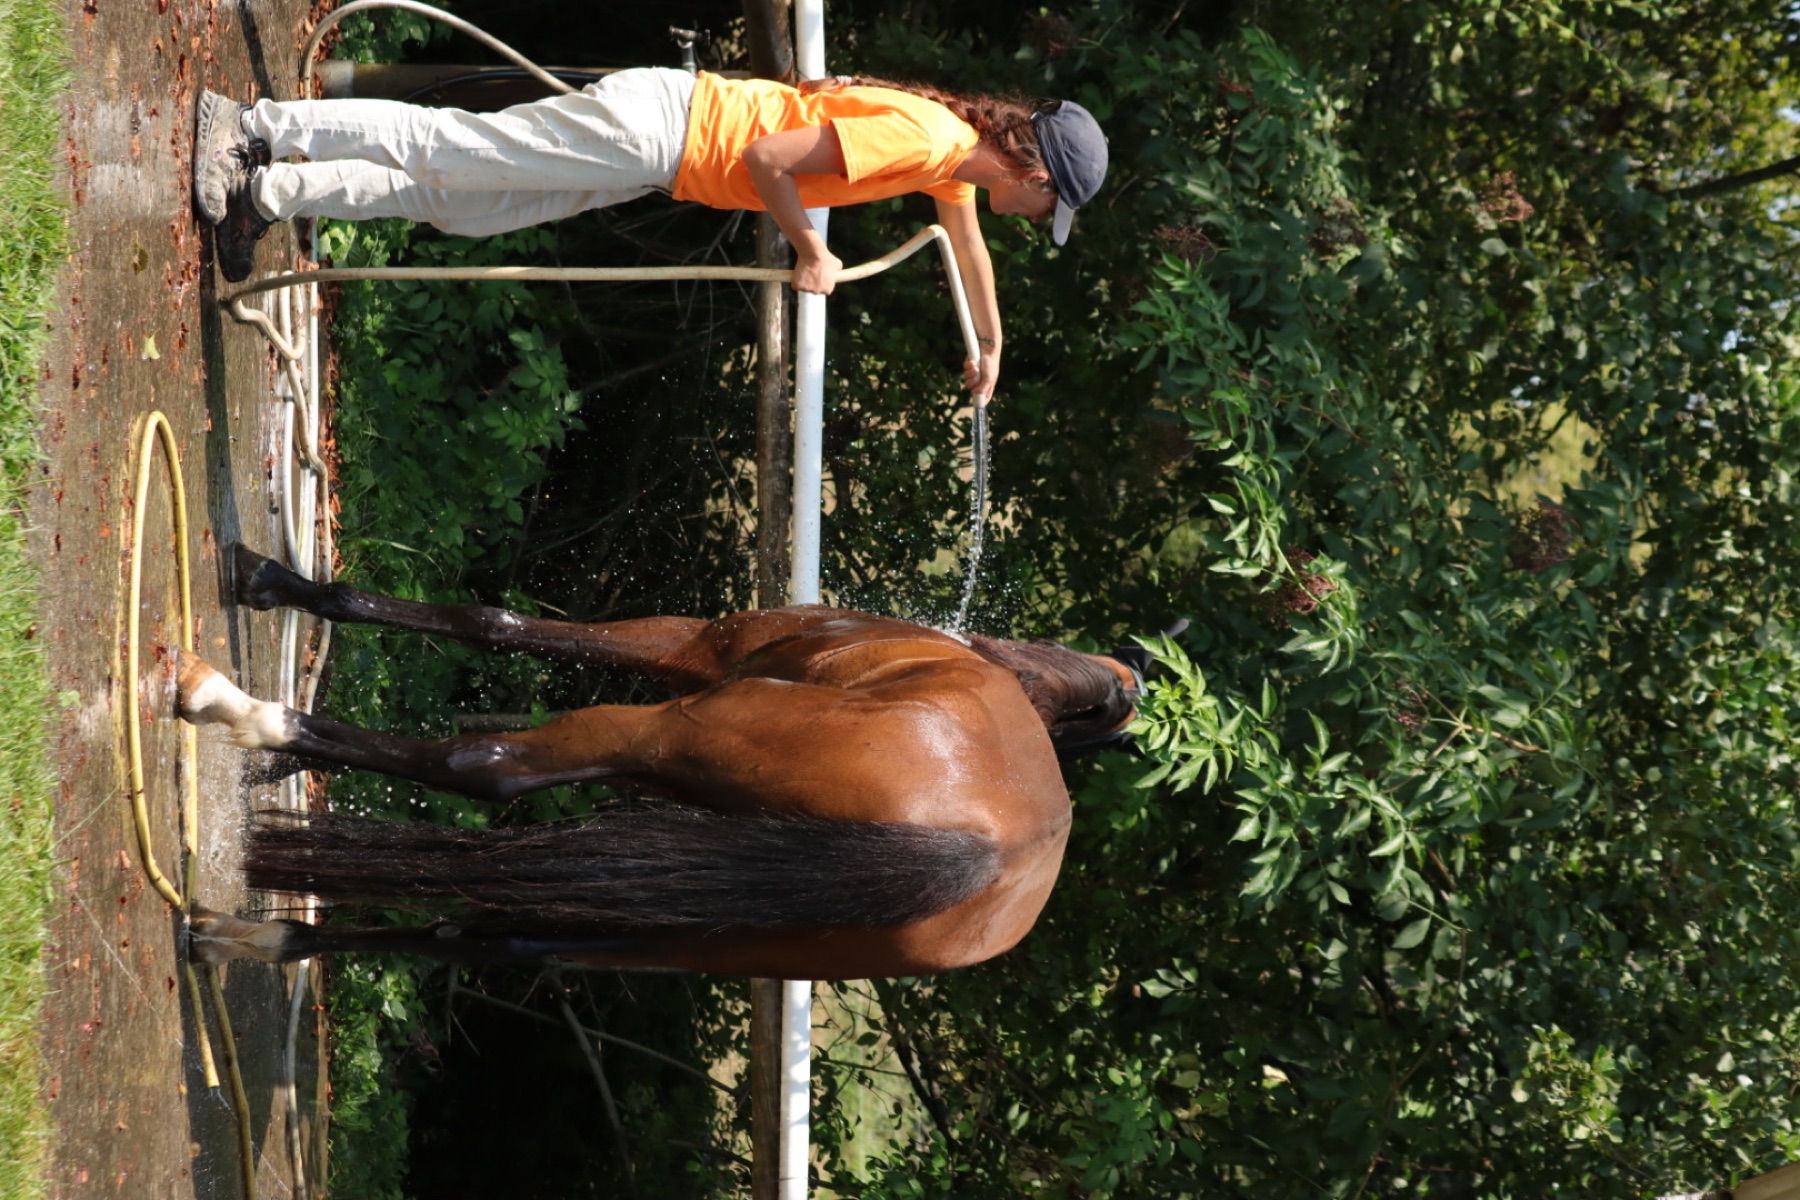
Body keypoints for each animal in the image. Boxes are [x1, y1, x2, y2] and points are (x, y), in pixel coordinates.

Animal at [180, 545, 1143, 981]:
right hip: (683, 932)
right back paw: (258, 935)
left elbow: (496, 622)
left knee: (485, 769)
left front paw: (281, 585)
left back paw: (241, 714)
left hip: (658, 731)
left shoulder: (686, 652)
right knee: (491, 931)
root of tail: (993, 848)